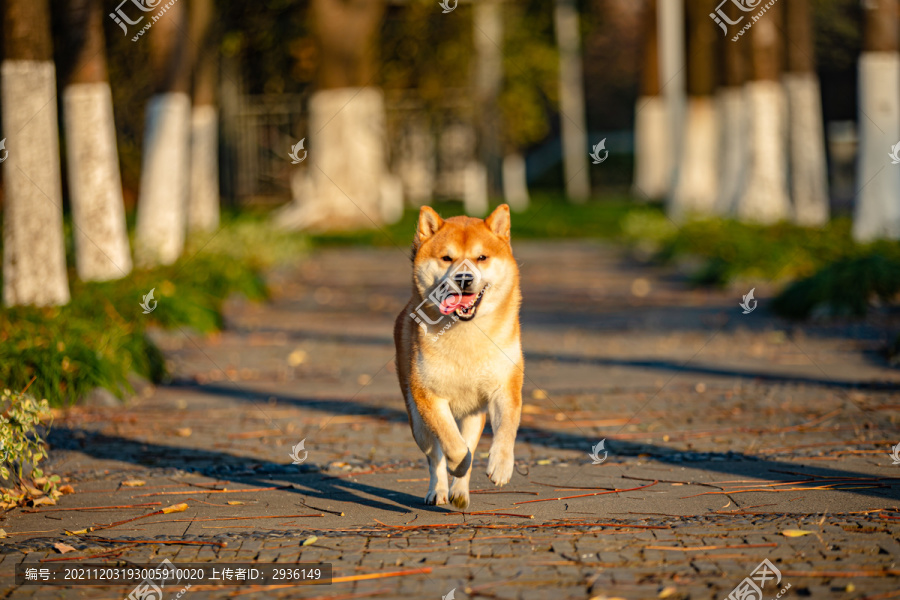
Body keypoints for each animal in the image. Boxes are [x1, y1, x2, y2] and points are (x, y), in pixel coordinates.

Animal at [392, 204, 524, 508]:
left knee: (470, 444)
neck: (466, 334)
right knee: (435, 456)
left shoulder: (505, 387)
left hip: (474, 415)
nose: (464, 278)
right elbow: (452, 446)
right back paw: (439, 490)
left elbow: (506, 429)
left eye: (481, 257)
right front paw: (457, 465)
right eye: (447, 258)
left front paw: (501, 466)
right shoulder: (429, 396)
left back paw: (460, 492)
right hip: (418, 423)